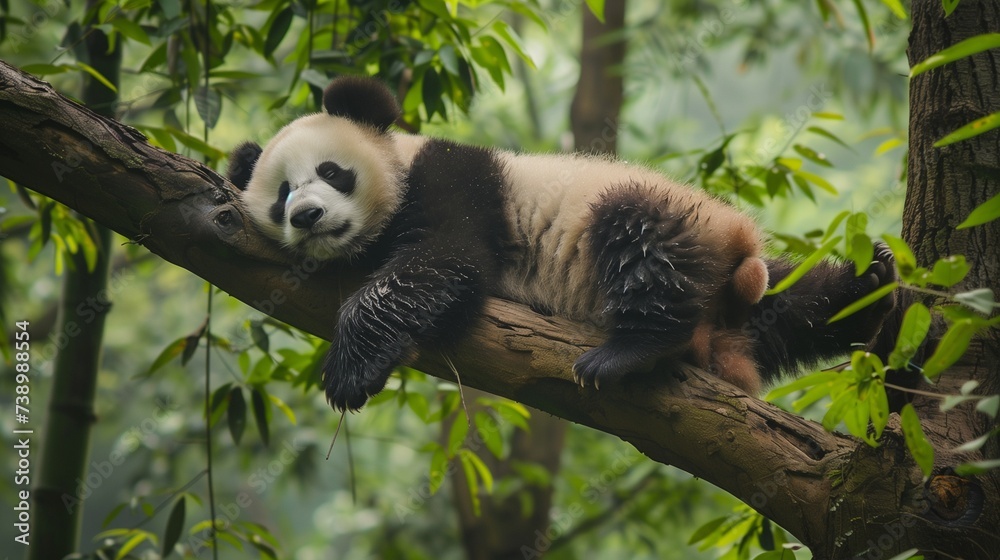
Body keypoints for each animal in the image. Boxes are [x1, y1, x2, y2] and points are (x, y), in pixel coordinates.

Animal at [228, 76, 896, 412]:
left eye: (332, 171)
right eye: (282, 194)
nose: (308, 215)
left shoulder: (453, 179)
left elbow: (441, 260)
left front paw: (350, 371)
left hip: (666, 216)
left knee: (639, 237)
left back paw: (628, 350)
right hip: (754, 303)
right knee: (797, 301)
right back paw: (872, 288)